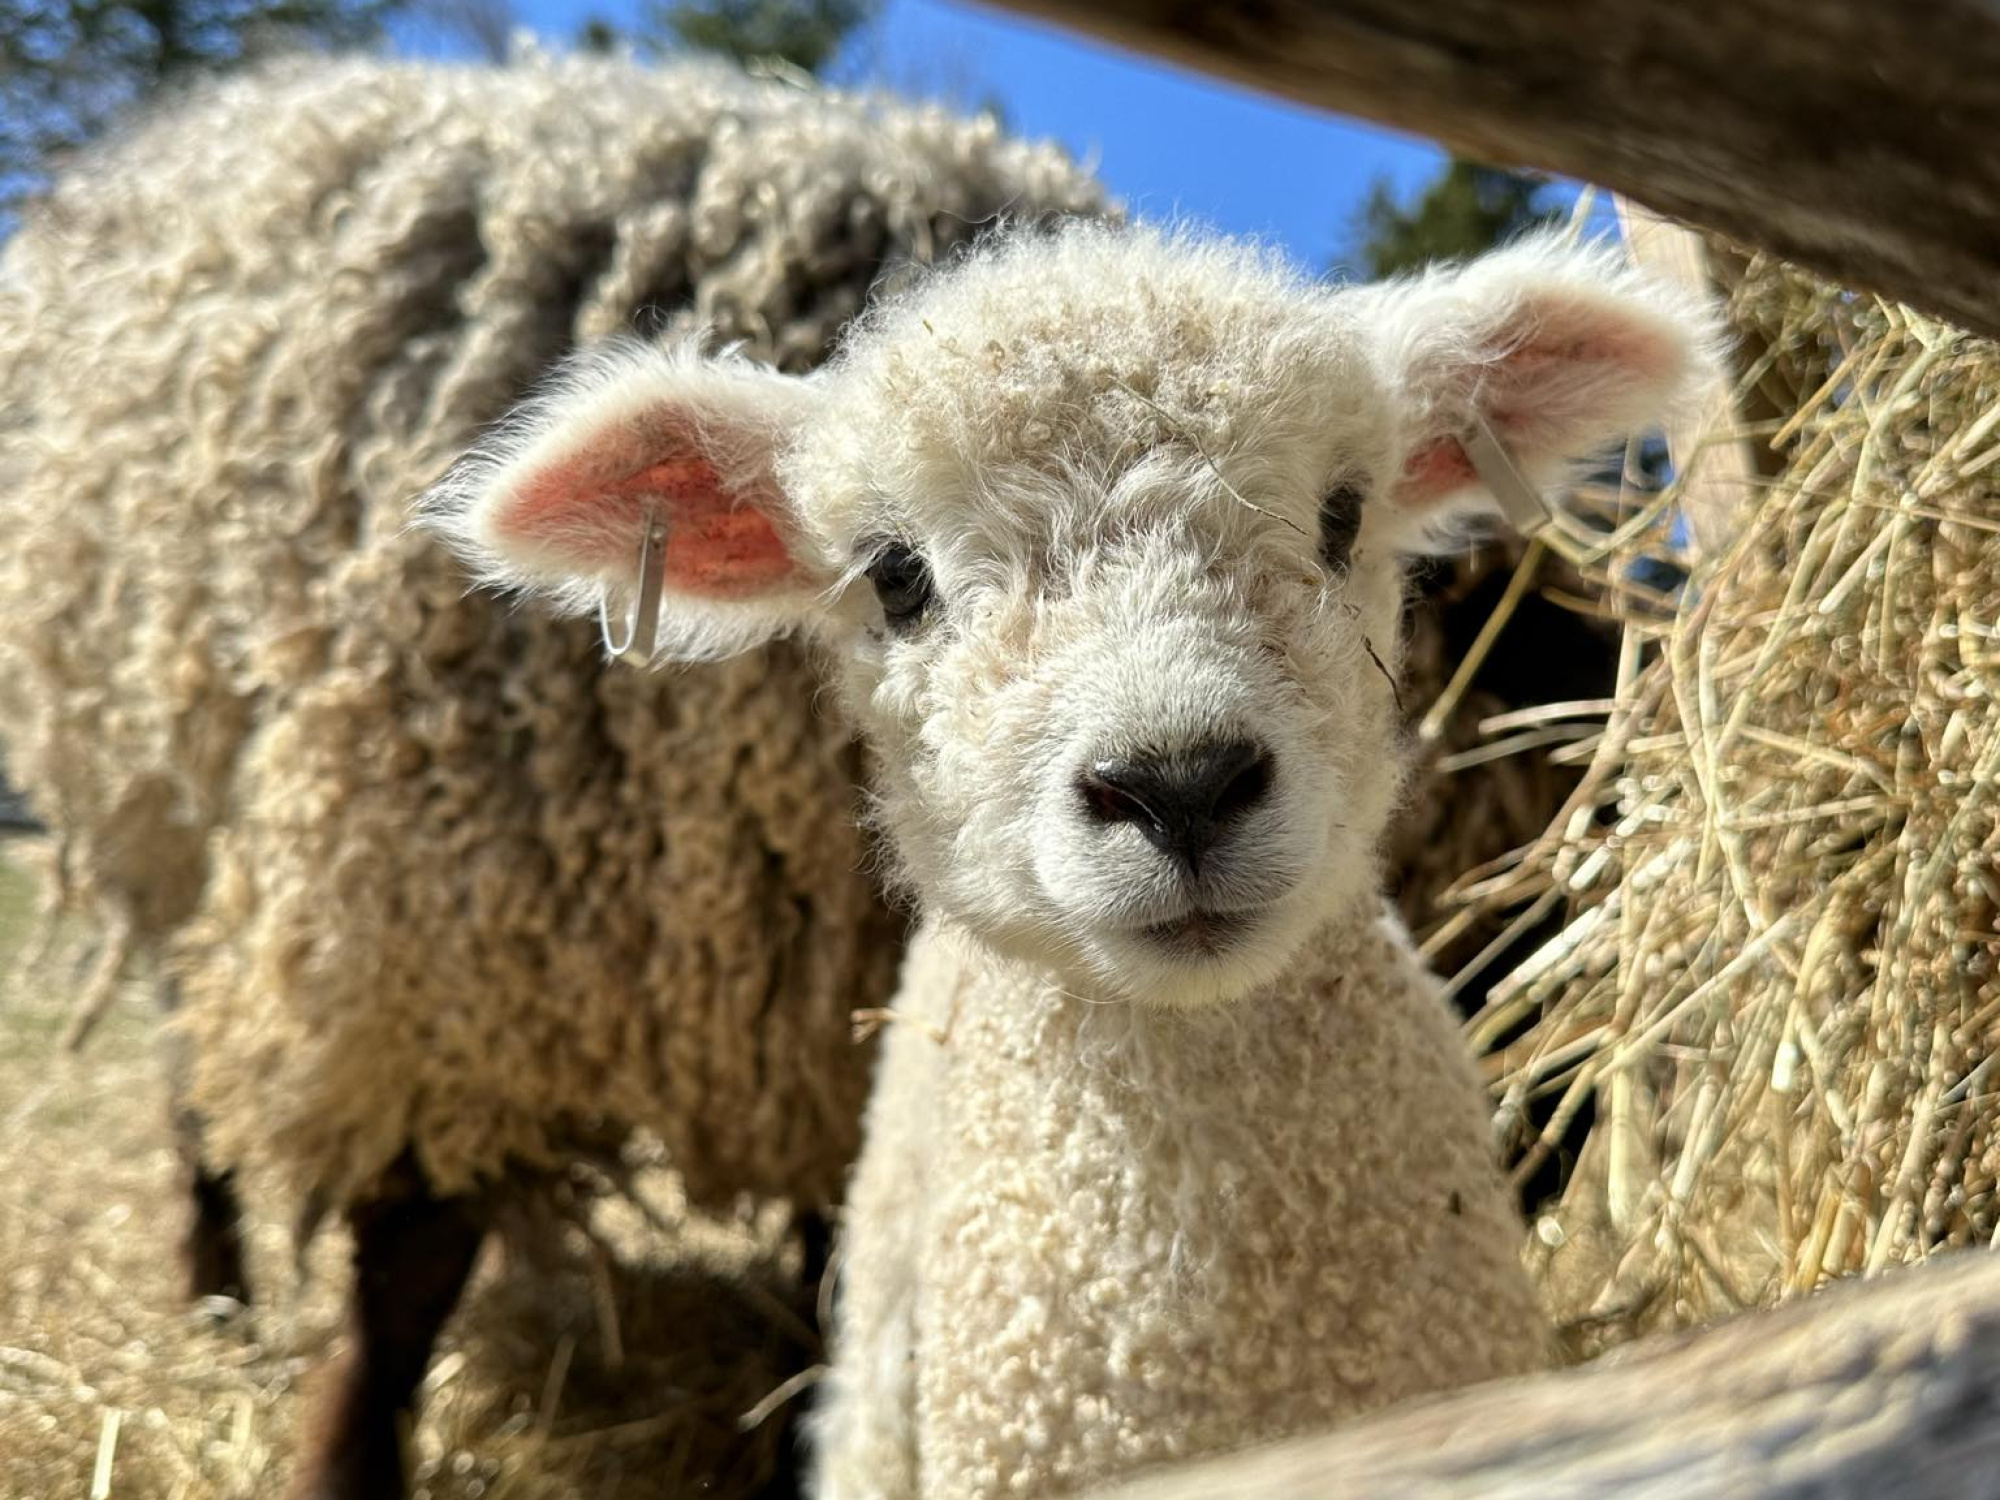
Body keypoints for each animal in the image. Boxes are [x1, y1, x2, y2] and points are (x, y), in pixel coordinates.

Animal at [0, 51, 1106, 1499]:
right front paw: (342, 1461)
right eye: (895, 571)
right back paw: (219, 1308)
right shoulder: (443, 960)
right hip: (175, 835)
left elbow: (839, 1256)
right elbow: (403, 1276)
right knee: (196, 1093)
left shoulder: (825, 1032)